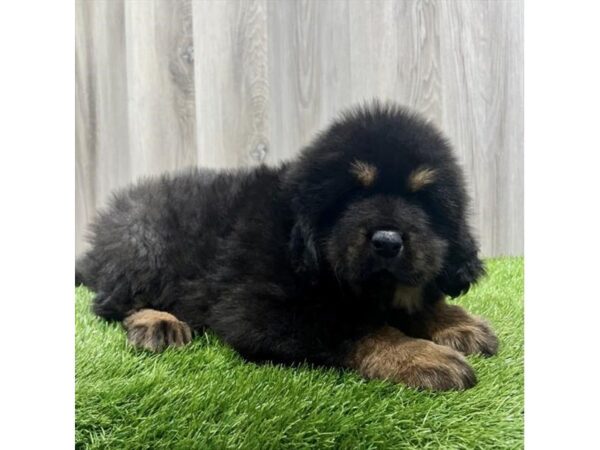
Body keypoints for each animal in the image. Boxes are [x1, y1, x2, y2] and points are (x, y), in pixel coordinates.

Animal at [76, 102, 496, 390]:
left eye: (423, 200)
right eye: (350, 197)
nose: (387, 241)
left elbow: (419, 299)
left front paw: (457, 322)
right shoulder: (257, 308)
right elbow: (358, 327)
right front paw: (421, 356)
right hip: (145, 241)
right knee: (110, 301)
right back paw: (157, 322)